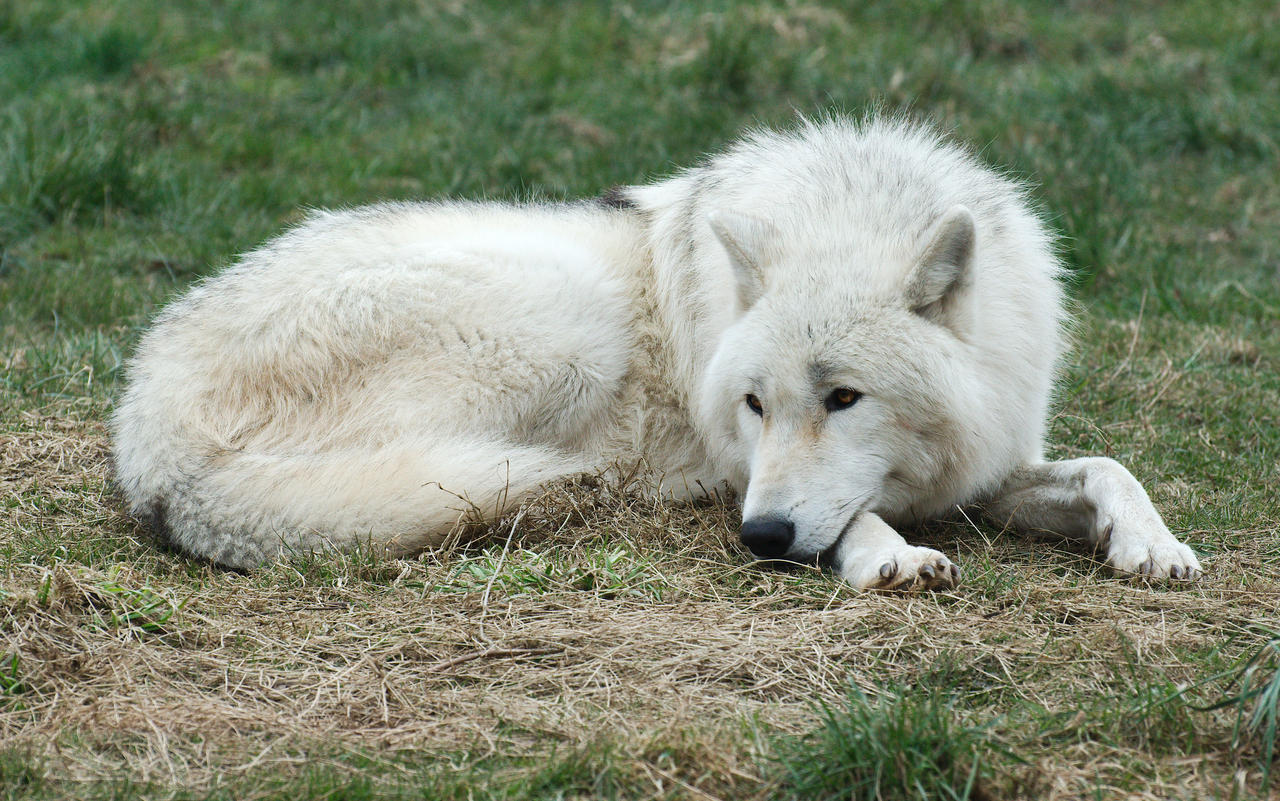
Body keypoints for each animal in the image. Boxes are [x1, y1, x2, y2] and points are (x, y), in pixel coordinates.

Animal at [111, 115, 1202, 588]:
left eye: (844, 398)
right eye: (755, 405)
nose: (759, 538)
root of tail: (152, 457)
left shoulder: (987, 458)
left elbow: (1107, 465)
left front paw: (1149, 544)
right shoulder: (740, 471)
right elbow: (845, 514)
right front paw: (883, 554)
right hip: (561, 320)